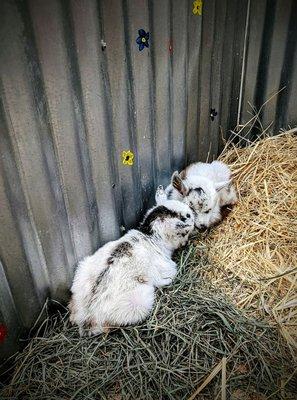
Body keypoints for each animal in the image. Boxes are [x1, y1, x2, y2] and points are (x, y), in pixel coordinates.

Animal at [69, 199, 194, 334]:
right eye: (186, 216)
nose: (193, 215)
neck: (150, 237)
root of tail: (88, 315)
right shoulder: (167, 271)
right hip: (138, 303)